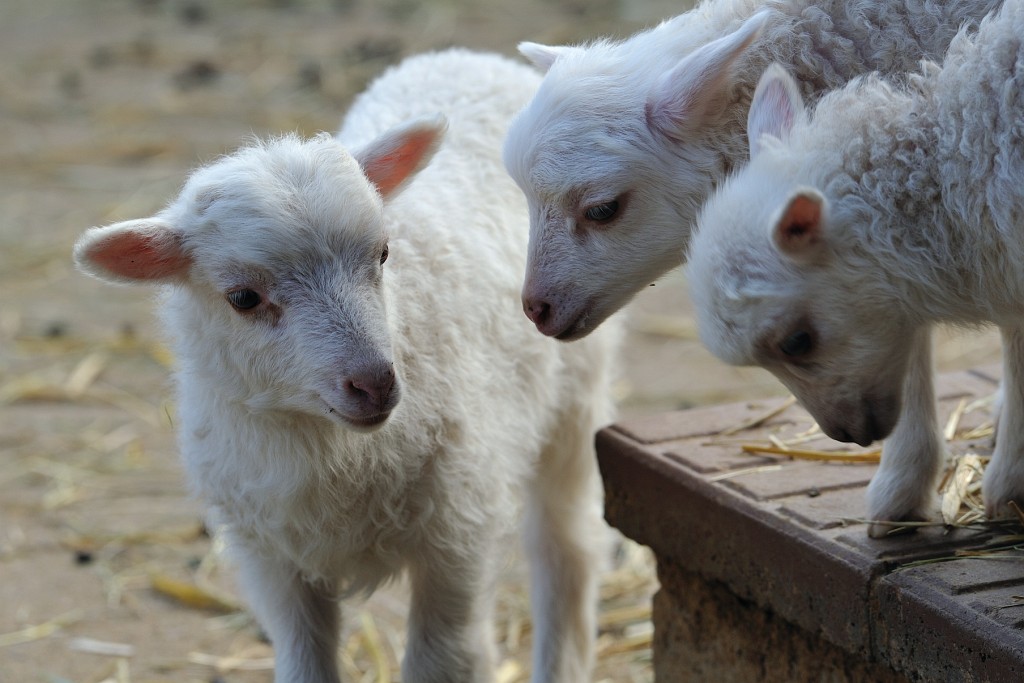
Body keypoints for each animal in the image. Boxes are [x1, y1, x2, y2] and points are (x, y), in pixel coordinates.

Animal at [72, 49, 618, 683]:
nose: (375, 383)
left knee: (566, 549)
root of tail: (468, 57)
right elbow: (305, 662)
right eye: (242, 298)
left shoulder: (459, 528)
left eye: (382, 254)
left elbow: (444, 657)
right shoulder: (272, 559)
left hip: (574, 396)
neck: (335, 455)